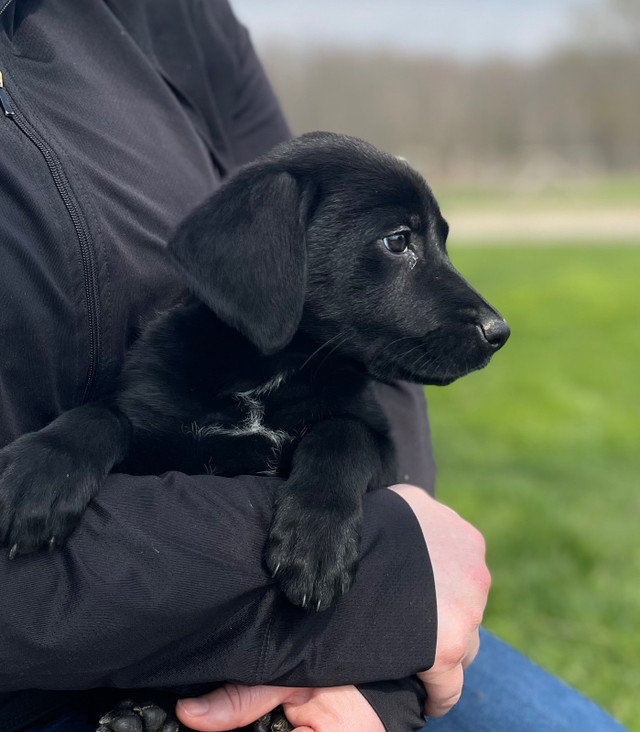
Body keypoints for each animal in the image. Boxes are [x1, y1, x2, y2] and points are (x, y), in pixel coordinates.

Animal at [0, 133, 510, 732]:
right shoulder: (153, 424)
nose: (500, 332)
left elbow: (339, 434)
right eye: (397, 240)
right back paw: (143, 715)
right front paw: (38, 474)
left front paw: (316, 540)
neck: (268, 372)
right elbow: (100, 416)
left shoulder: (378, 441)